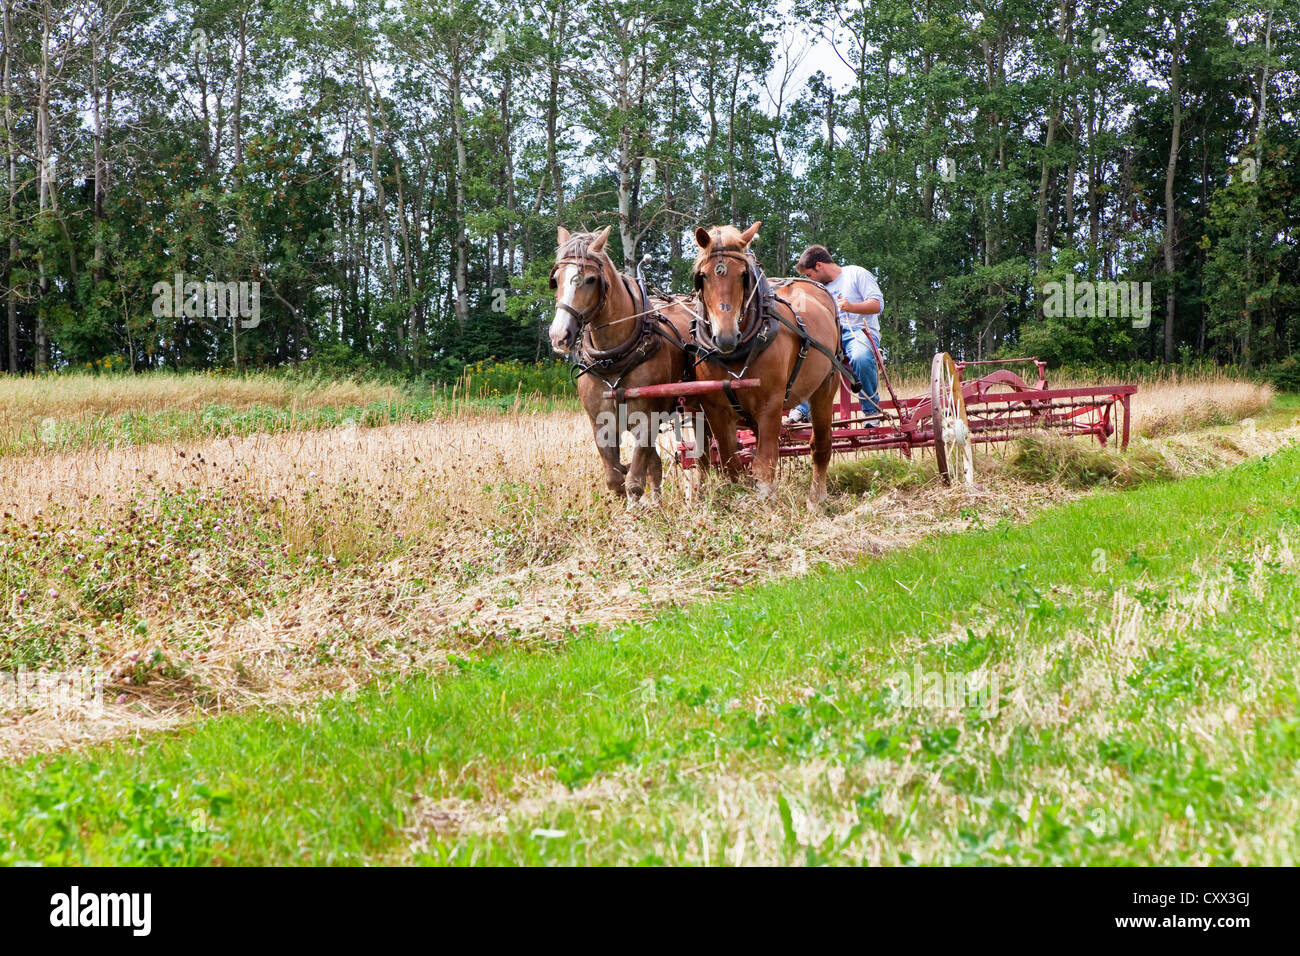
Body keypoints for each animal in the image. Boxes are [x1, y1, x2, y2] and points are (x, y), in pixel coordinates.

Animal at [548, 225, 701, 501]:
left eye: (591, 279)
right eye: (556, 279)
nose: (559, 335)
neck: (612, 361)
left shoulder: (647, 419)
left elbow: (635, 482)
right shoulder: (599, 422)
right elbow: (615, 479)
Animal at [689, 221, 845, 502]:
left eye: (743, 275)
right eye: (702, 276)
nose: (725, 337)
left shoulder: (771, 403)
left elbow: (764, 465)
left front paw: (765, 503)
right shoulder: (715, 409)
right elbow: (731, 463)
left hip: (826, 385)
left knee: (821, 446)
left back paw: (816, 498)